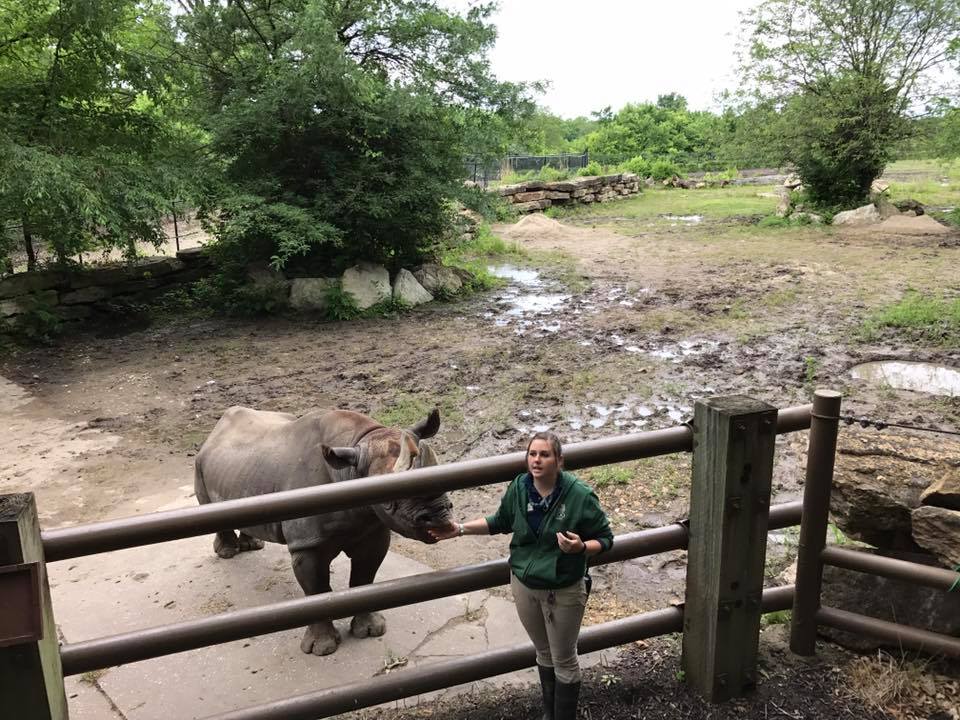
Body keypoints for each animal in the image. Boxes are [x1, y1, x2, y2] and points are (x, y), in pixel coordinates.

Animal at [194, 406, 452, 655]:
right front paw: (322, 648)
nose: (441, 519)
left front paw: (370, 630)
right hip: (200, 463)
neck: (352, 469)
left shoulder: (373, 530)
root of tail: (214, 431)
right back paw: (227, 553)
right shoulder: (307, 544)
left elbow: (364, 579)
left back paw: (252, 546)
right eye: (389, 500)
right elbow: (317, 592)